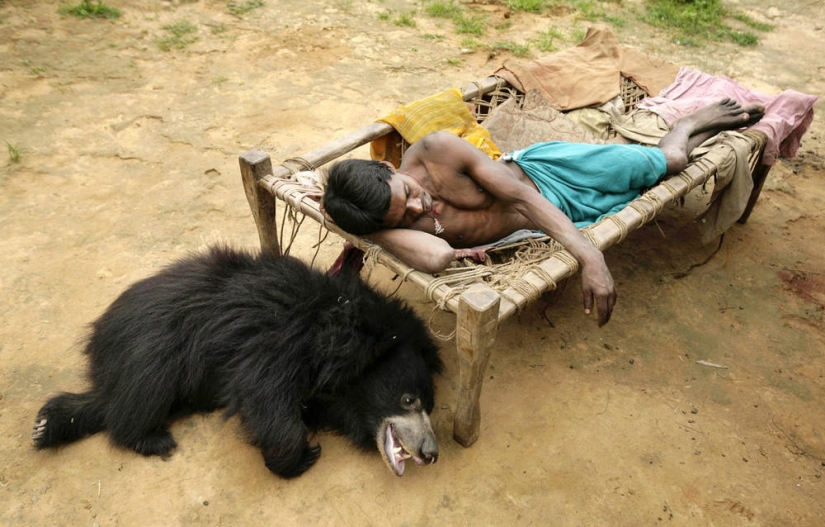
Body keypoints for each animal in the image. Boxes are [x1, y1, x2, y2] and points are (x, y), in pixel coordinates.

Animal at [32, 246, 443, 478]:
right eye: (408, 400)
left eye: (430, 406)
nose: (432, 453)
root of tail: (101, 327)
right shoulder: (282, 343)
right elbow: (264, 395)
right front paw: (299, 457)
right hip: (152, 344)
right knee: (141, 394)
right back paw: (150, 438)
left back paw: (46, 424)